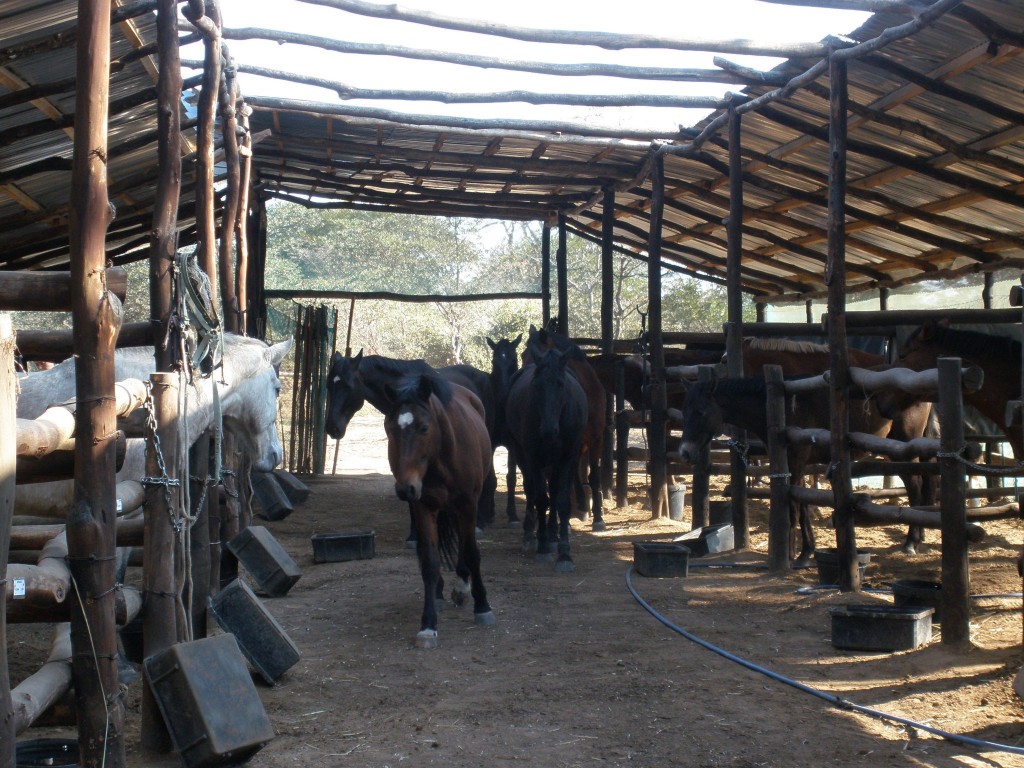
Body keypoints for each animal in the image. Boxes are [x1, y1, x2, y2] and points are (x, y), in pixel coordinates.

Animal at [382, 373, 496, 648]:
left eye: (424, 428)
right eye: (389, 428)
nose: (405, 488)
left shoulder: (468, 505)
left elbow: (472, 552)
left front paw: (482, 606)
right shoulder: (423, 507)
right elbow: (430, 563)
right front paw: (428, 625)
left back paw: (463, 587)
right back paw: (441, 593)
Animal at [506, 347, 588, 572]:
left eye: (561, 384)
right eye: (536, 385)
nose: (548, 431)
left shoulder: (567, 458)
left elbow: (562, 501)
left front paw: (564, 553)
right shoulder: (534, 458)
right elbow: (541, 499)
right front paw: (542, 547)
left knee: (553, 490)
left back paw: (552, 535)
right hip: (522, 454)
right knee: (530, 490)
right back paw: (530, 535)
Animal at [525, 326, 607, 531]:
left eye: (537, 354)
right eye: (522, 355)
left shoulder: (596, 439)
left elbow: (594, 476)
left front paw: (598, 518)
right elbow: (566, 481)